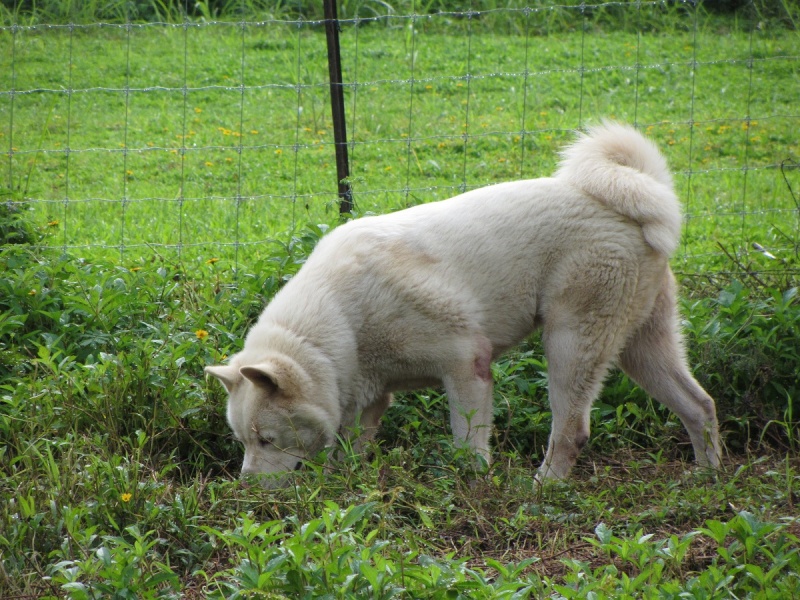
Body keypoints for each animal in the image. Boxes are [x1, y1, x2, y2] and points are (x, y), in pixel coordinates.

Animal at [208, 123, 724, 488]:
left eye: (266, 439)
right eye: (243, 440)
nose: (246, 487)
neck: (342, 322)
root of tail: (634, 197)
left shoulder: (465, 365)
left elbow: (467, 445)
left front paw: (471, 487)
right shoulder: (370, 399)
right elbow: (347, 454)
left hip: (570, 345)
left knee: (572, 429)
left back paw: (543, 487)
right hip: (643, 348)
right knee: (700, 406)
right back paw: (709, 477)